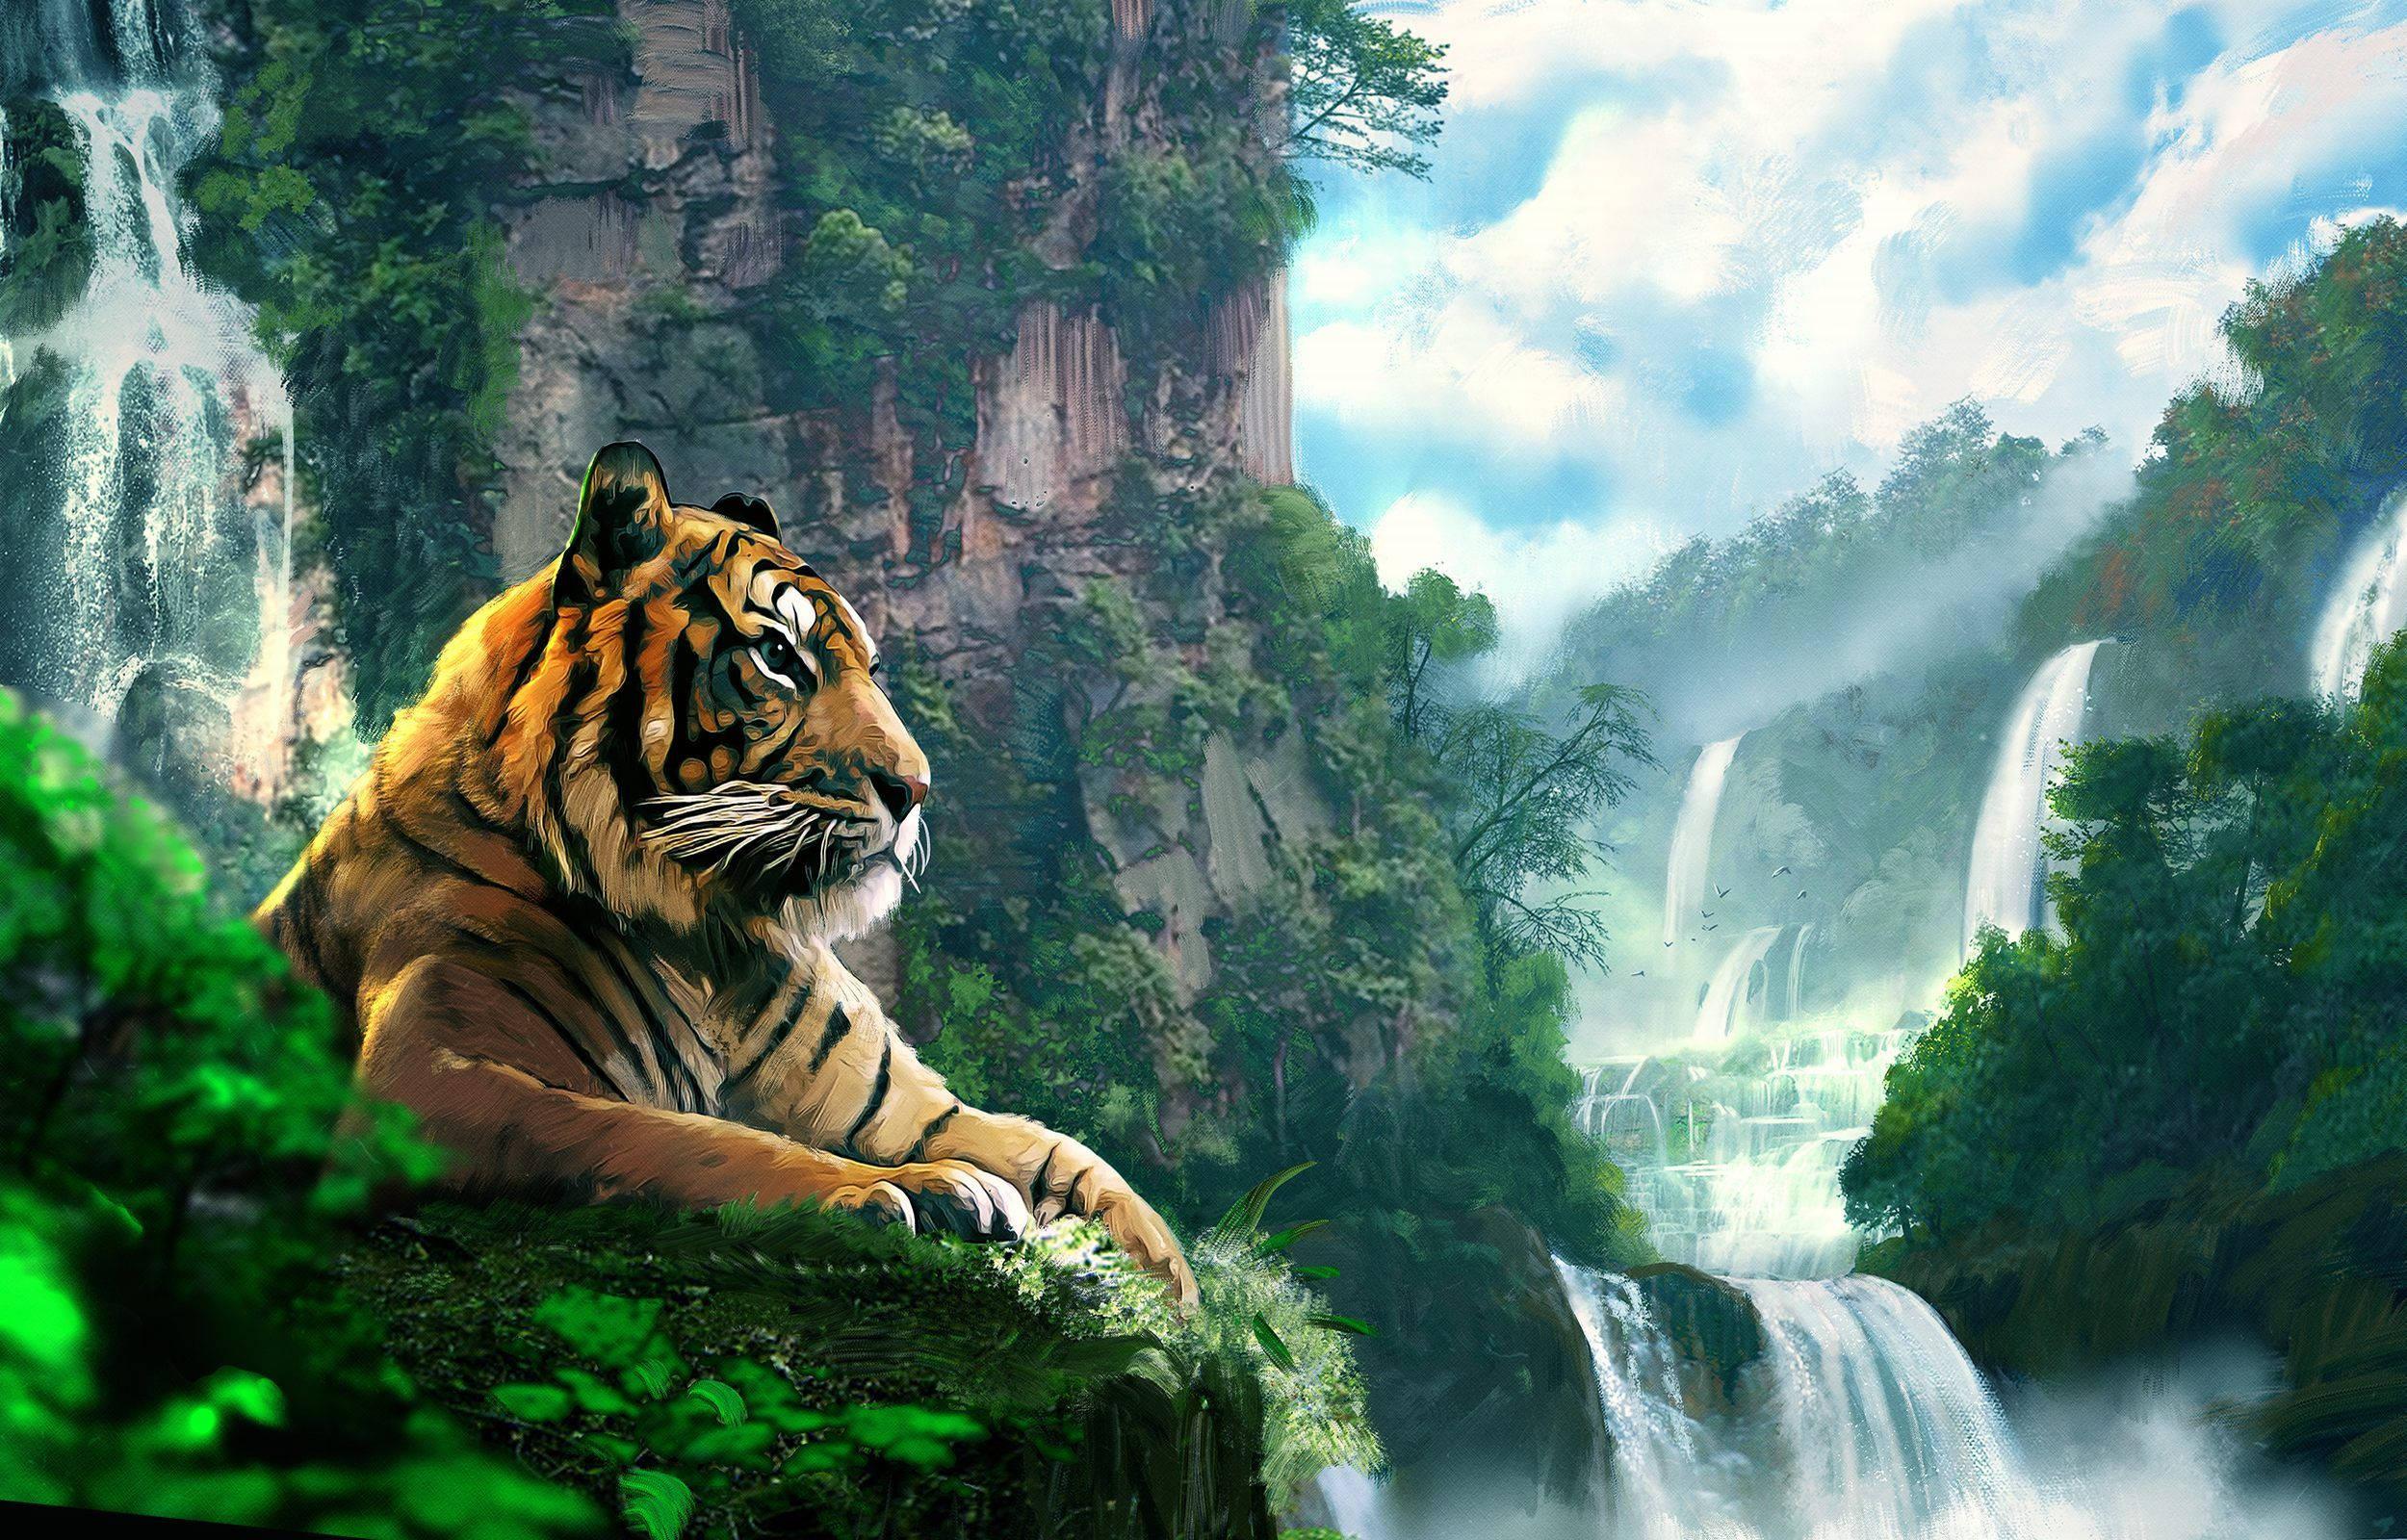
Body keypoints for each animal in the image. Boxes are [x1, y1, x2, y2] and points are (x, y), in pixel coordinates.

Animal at [257, 440, 1195, 1302]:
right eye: (779, 655)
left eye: (871, 668)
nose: (917, 788)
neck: (713, 935)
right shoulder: (432, 1079)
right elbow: (680, 1139)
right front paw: (909, 1192)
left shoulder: (905, 1107)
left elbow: (1071, 1159)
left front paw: (1177, 1292)